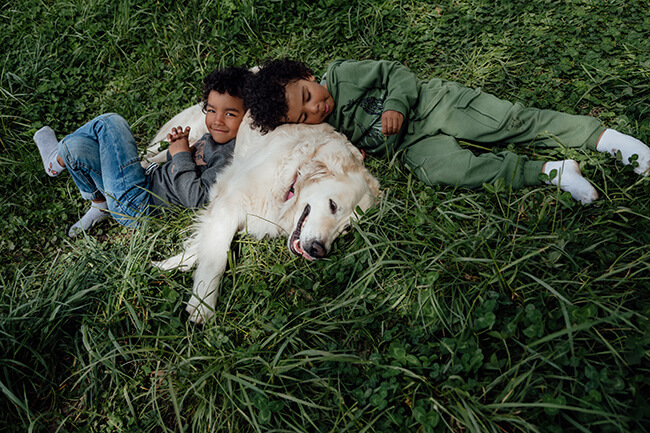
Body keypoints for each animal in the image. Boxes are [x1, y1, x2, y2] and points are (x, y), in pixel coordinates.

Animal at [152, 110, 381, 323]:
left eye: (346, 229)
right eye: (333, 206)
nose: (319, 250)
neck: (290, 183)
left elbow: (206, 246)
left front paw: (172, 264)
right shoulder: (230, 202)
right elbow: (216, 258)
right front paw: (203, 305)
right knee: (156, 152)